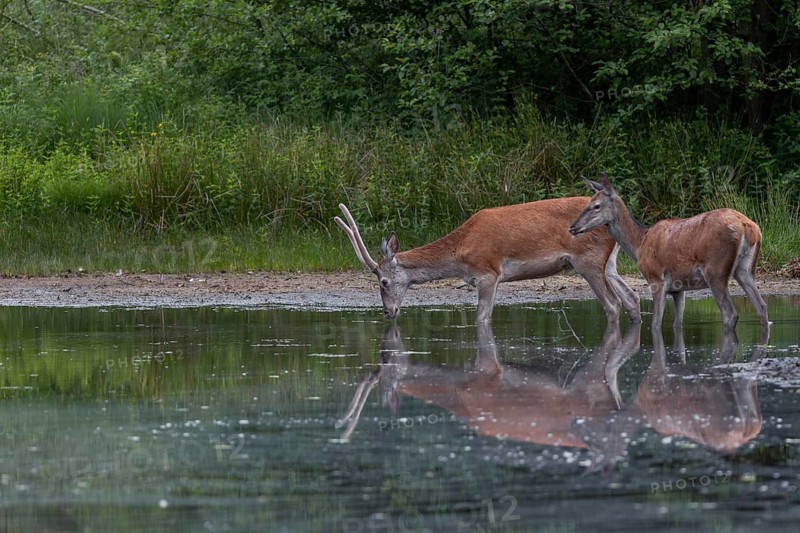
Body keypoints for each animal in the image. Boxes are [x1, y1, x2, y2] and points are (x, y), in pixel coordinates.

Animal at [334, 199, 641, 324]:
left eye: (383, 281)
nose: (388, 312)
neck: (460, 253)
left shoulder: (488, 271)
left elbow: (481, 317)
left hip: (587, 261)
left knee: (613, 304)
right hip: (609, 263)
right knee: (631, 298)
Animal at [568, 174, 770, 344]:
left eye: (596, 206)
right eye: (588, 203)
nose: (572, 228)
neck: (639, 243)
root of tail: (748, 227)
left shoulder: (655, 278)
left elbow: (656, 324)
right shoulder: (678, 289)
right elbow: (676, 325)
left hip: (716, 270)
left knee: (730, 314)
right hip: (745, 269)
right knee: (761, 307)